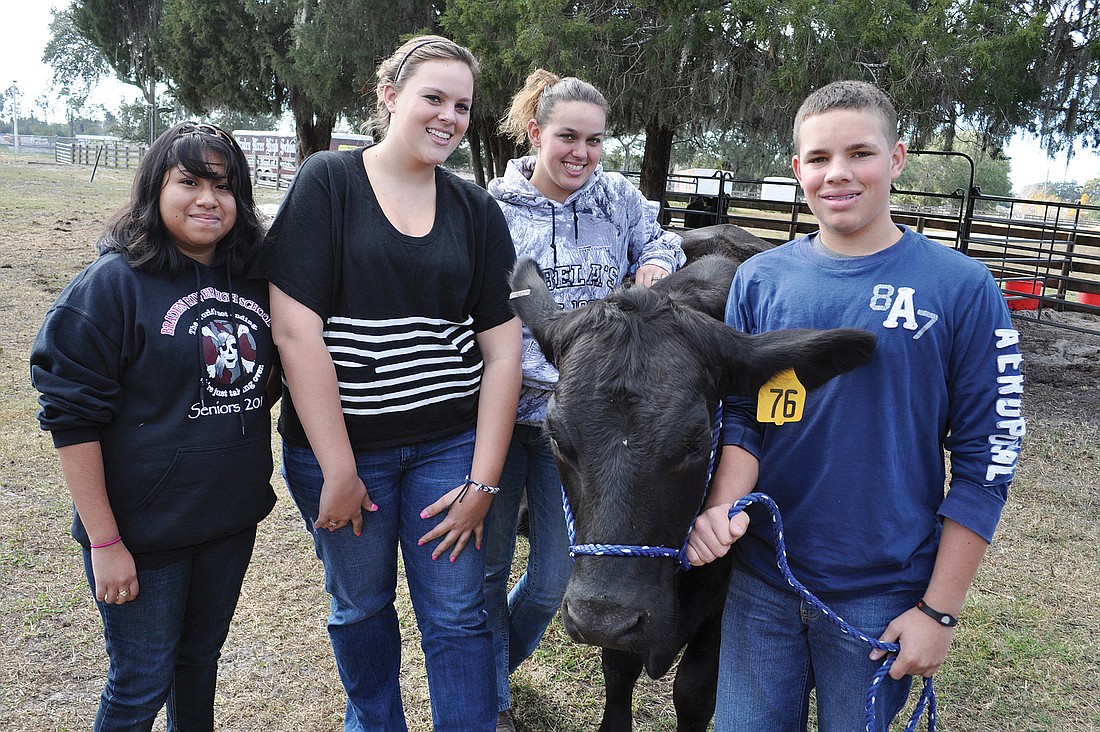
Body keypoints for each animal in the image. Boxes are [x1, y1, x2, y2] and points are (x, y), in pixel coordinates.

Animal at [506, 254, 875, 726]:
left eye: (696, 443)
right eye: (555, 436)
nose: (601, 617)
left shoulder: (724, 612)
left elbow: (694, 691)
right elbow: (618, 670)